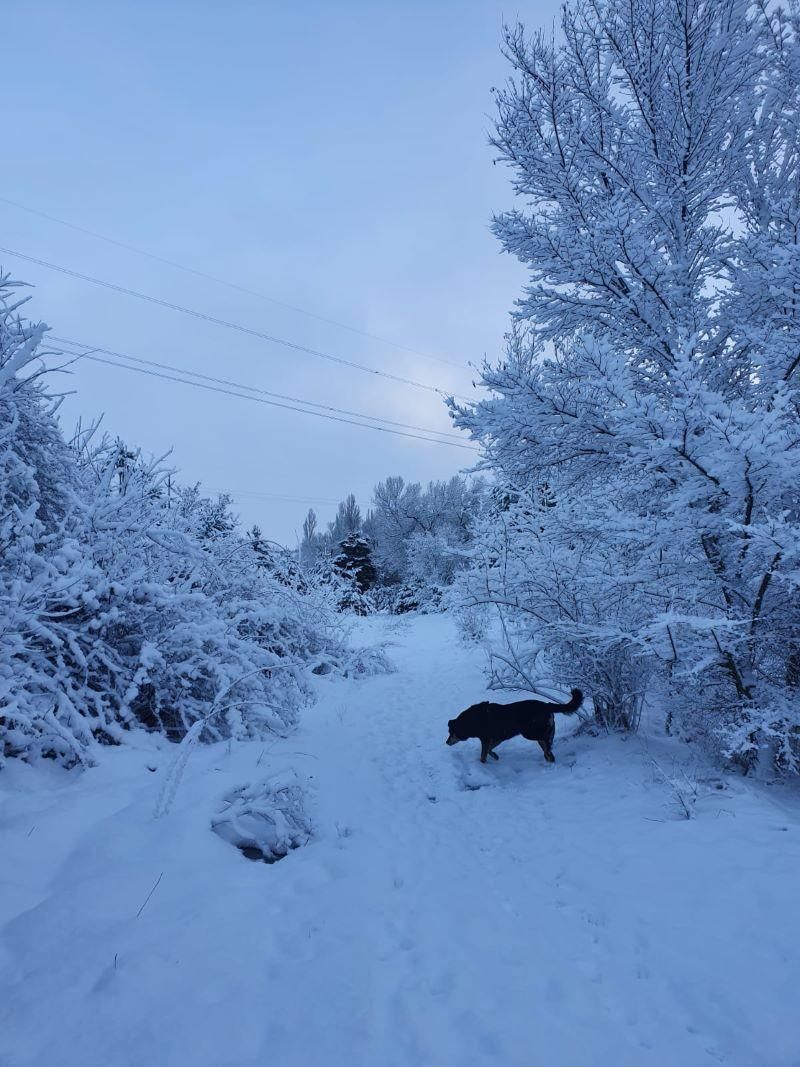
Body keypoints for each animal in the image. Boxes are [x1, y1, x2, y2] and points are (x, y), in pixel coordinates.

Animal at [445, 687, 584, 763]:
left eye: (451, 732)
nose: (446, 742)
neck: (471, 722)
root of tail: (546, 705)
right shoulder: (497, 738)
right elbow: (489, 750)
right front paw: (495, 757)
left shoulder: (487, 739)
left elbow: (483, 755)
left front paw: (483, 765)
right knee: (548, 749)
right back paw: (549, 758)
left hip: (529, 732)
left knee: (546, 742)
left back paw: (549, 749)